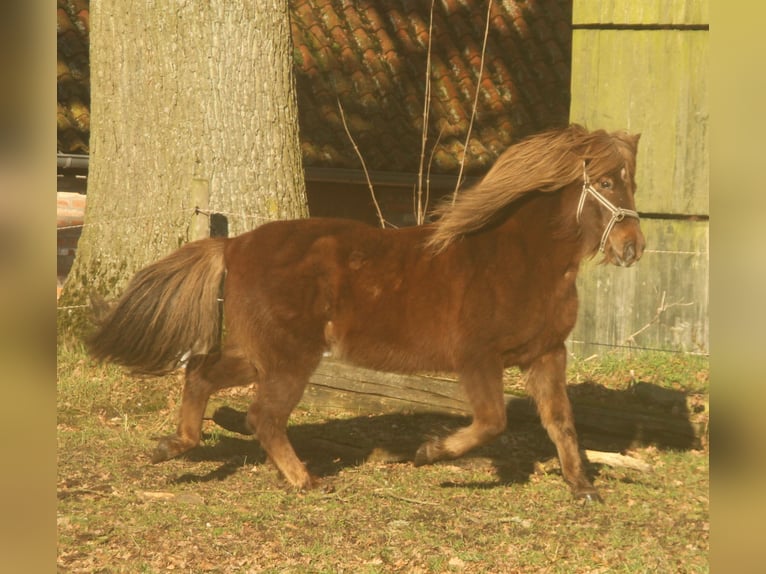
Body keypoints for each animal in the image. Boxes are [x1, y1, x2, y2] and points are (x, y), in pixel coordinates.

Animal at [88, 124, 648, 502]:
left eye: (631, 181)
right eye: (605, 182)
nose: (633, 247)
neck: (518, 259)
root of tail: (235, 244)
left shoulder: (547, 353)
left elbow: (561, 421)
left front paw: (583, 487)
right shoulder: (477, 358)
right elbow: (493, 421)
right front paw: (428, 453)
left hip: (260, 352)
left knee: (201, 374)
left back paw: (173, 446)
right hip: (290, 357)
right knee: (262, 415)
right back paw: (304, 479)